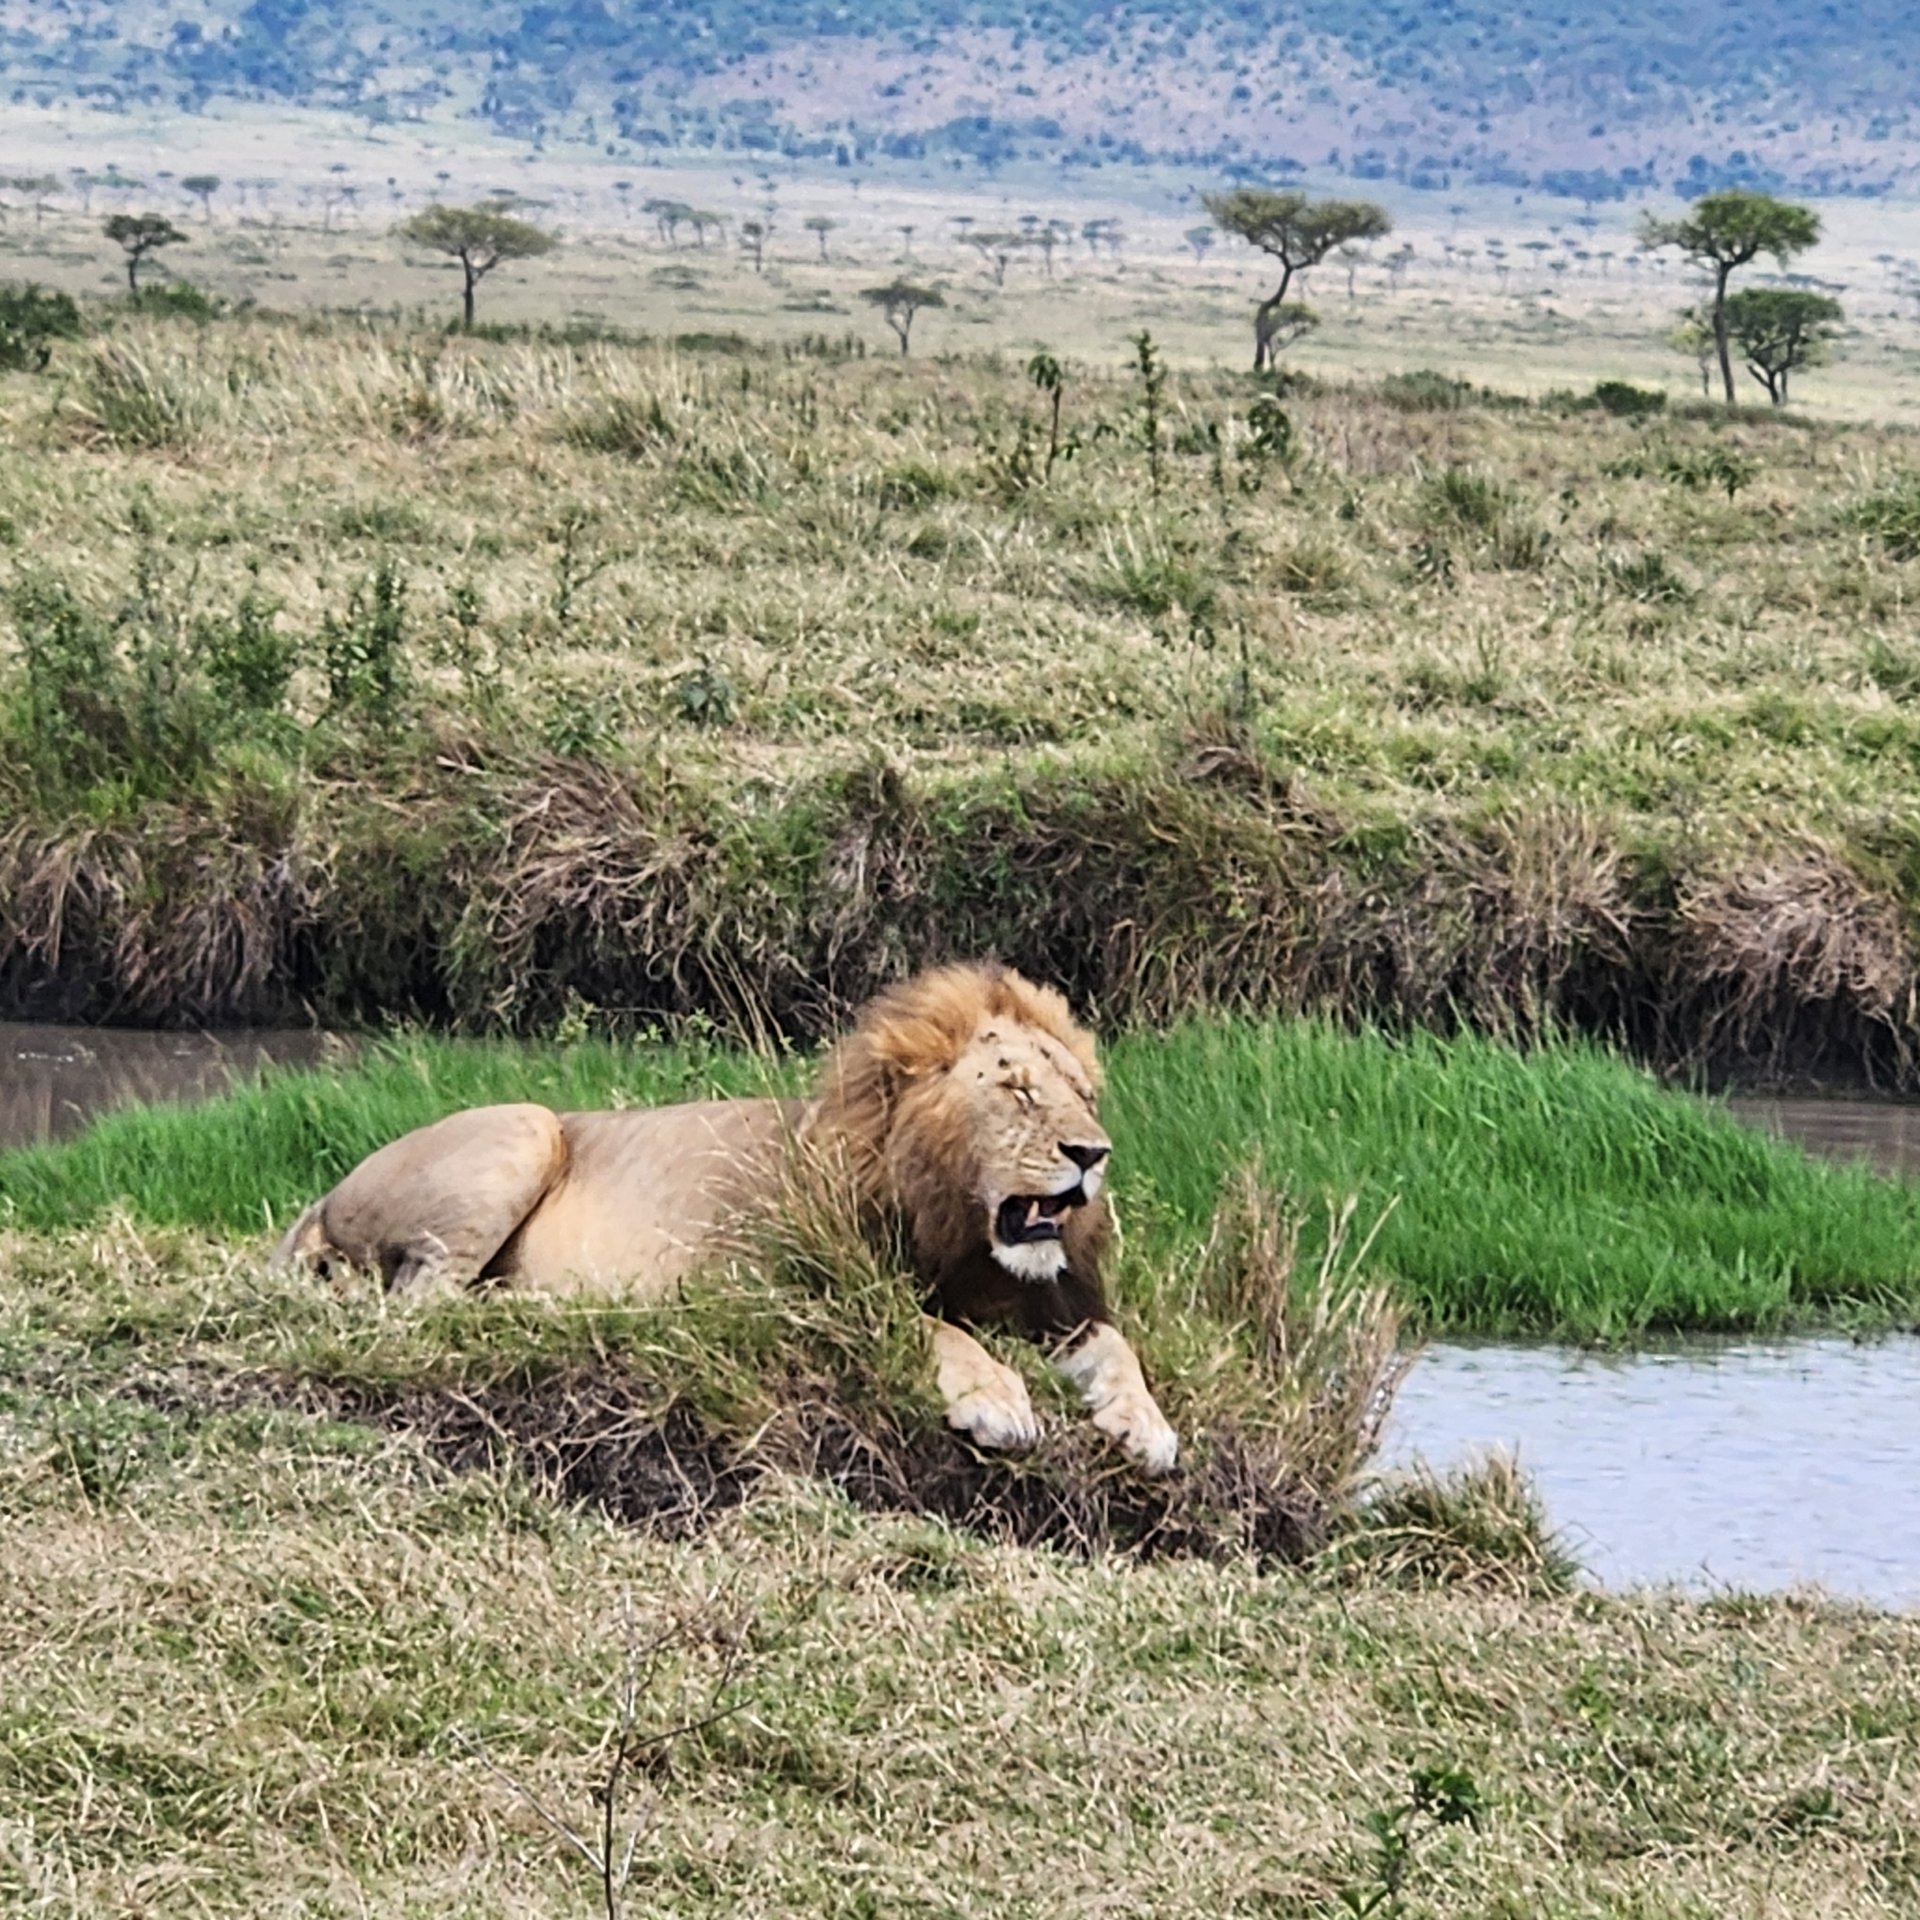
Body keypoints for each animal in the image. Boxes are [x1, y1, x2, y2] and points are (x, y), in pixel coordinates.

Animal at [266, 960, 1167, 1466]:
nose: (1094, 1154)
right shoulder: (797, 1294)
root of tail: (327, 1191)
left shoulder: (1053, 1302)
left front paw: (1145, 1427)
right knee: (419, 1305)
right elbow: (932, 1329)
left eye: (1082, 1095)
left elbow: (1117, 1347)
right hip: (525, 1125)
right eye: (1018, 1092)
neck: (959, 1231)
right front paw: (998, 1401)